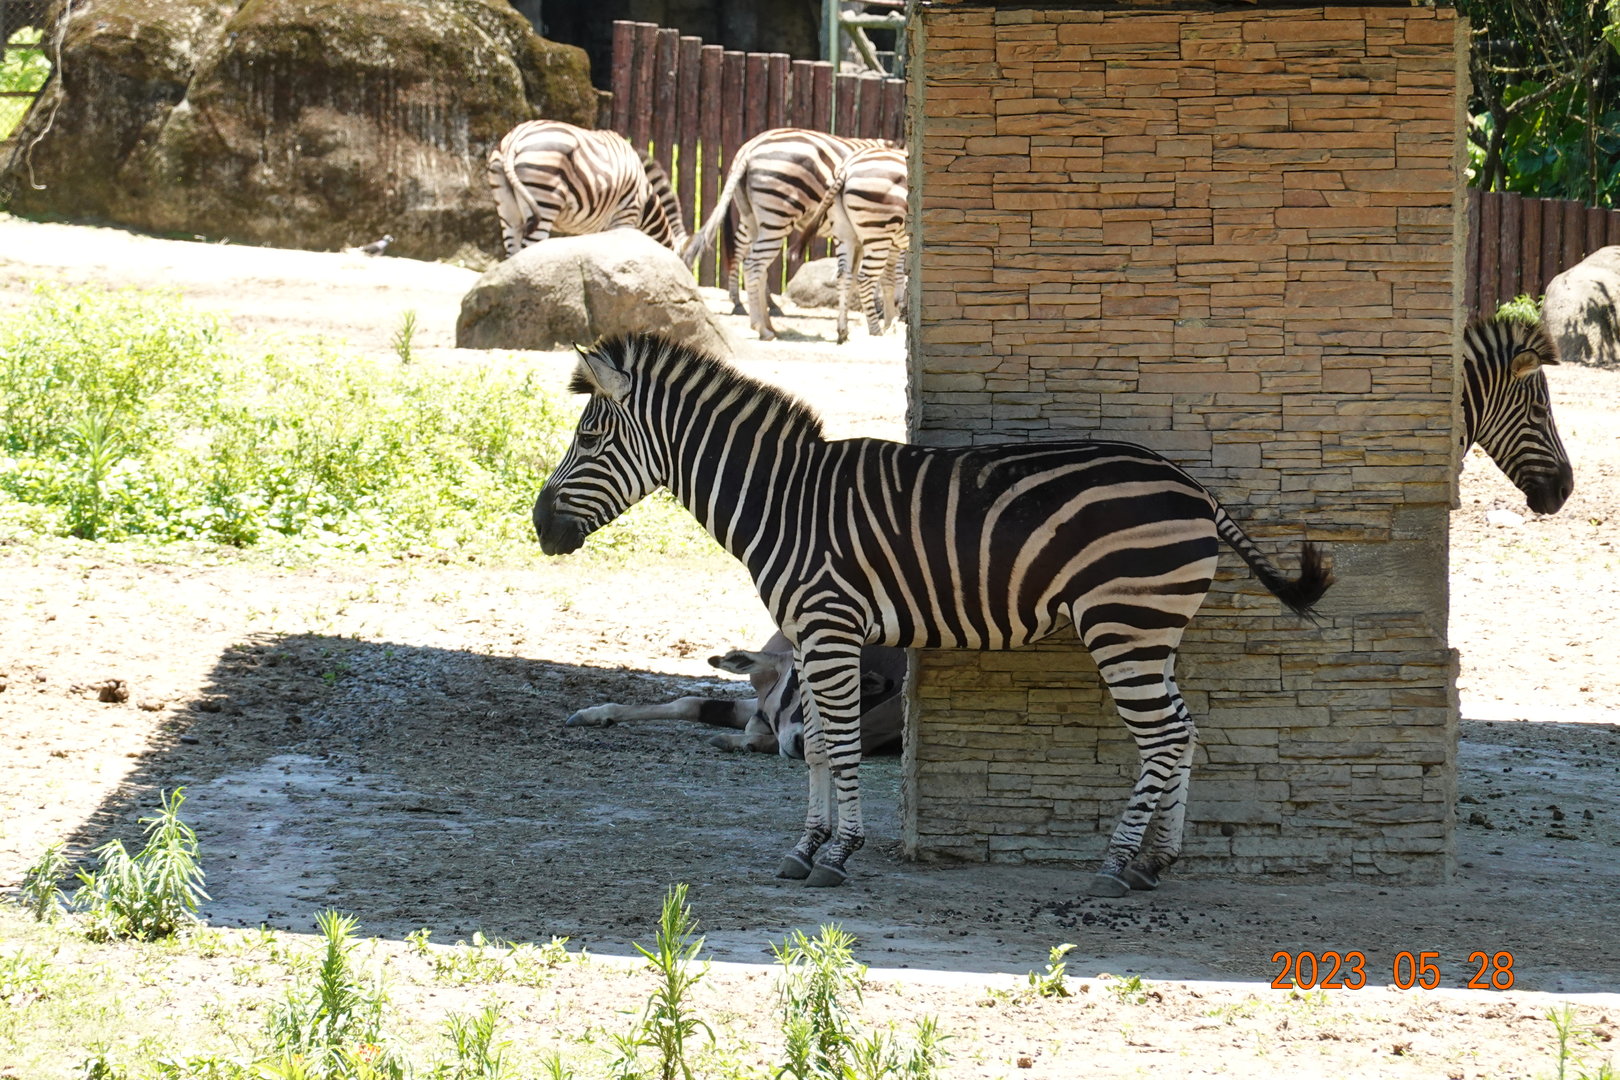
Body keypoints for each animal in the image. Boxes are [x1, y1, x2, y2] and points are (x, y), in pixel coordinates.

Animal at [533, 334, 1333, 898]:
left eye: (590, 440)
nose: (540, 527)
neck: (783, 501)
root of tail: (1195, 489)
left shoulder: (830, 628)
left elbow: (842, 748)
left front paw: (838, 855)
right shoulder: (814, 640)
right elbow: (816, 750)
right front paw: (804, 849)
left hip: (1123, 626)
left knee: (1164, 736)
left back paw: (1116, 865)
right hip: (1152, 629)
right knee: (1186, 730)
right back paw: (1156, 862)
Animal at [681, 128, 892, 341]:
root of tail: (750, 147)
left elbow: (856, 276)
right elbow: (885, 278)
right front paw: (887, 321)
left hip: (754, 216)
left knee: (752, 259)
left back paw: (766, 319)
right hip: (776, 213)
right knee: (748, 257)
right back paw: (755, 319)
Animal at [794, 145, 909, 344]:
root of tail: (845, 168)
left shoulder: (897, 243)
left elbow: (890, 279)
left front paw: (892, 323)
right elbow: (897, 277)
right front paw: (893, 322)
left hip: (845, 233)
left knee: (844, 276)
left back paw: (843, 331)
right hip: (878, 231)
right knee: (864, 279)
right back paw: (875, 331)